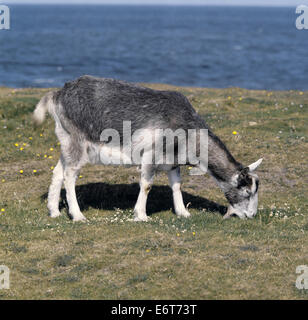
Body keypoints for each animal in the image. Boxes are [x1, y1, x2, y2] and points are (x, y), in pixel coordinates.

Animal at [33, 75, 262, 221]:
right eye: (247, 191)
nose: (251, 215)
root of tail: (57, 94)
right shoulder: (150, 155)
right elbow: (146, 185)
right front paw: (141, 215)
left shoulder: (172, 162)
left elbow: (176, 185)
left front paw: (183, 213)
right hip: (78, 142)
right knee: (70, 175)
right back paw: (78, 215)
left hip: (65, 141)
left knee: (58, 171)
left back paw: (54, 211)